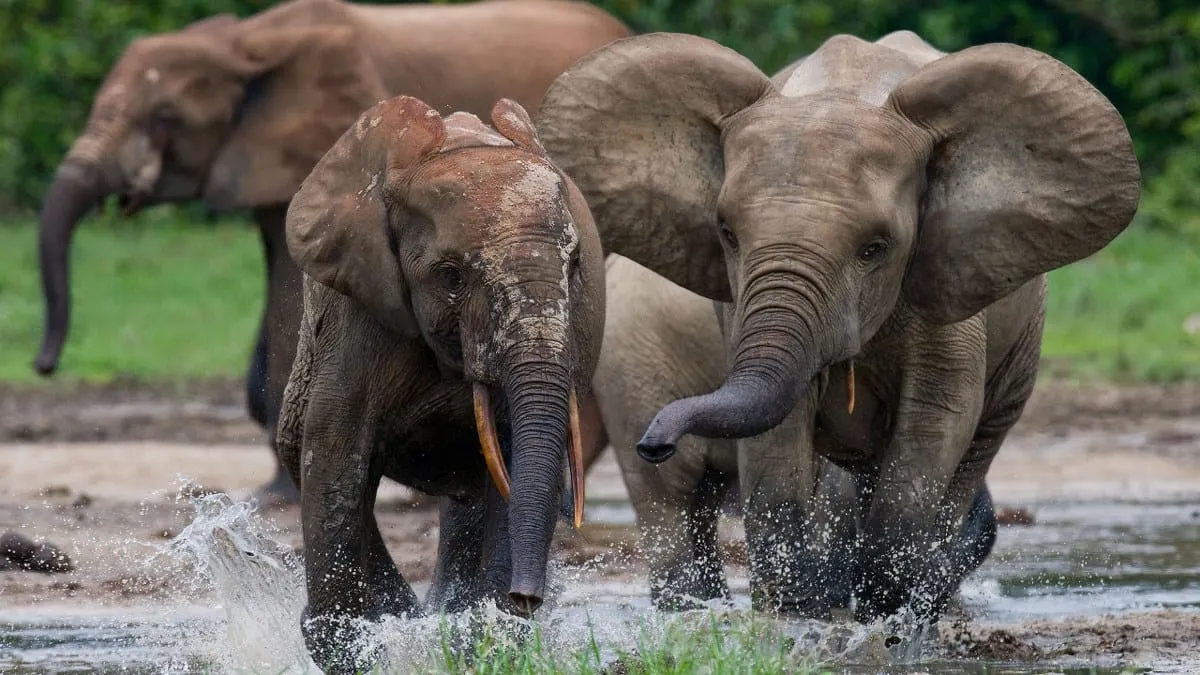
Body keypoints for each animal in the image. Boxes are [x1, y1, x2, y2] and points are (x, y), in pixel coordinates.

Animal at [275, 95, 605, 673]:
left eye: (575, 264)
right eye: (451, 275)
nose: (527, 598)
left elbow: (514, 460)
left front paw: (489, 638)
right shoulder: (360, 314)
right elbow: (336, 448)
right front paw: (354, 646)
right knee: (299, 448)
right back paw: (409, 616)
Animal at [596, 254, 996, 613]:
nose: (652, 444)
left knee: (701, 500)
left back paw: (712, 606)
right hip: (638, 373)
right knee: (669, 493)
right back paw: (687, 607)